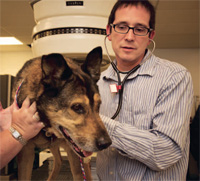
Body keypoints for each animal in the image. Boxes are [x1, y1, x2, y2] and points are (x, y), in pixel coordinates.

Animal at [11, 47, 111, 181]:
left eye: (99, 105)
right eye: (77, 107)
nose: (106, 144)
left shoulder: (75, 155)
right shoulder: (26, 152)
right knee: (58, 161)